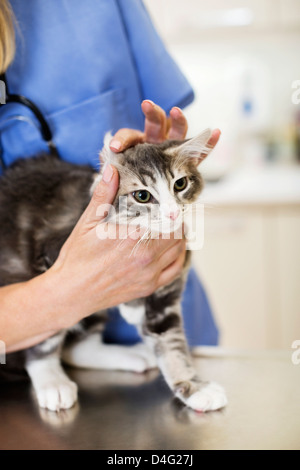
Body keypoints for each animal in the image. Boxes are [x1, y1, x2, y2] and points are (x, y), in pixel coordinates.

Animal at [0, 129, 227, 412]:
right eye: (142, 196)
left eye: (180, 184)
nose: (173, 214)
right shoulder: (51, 257)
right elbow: (46, 332)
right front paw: (49, 378)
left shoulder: (167, 293)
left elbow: (170, 341)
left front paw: (194, 387)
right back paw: (54, 382)